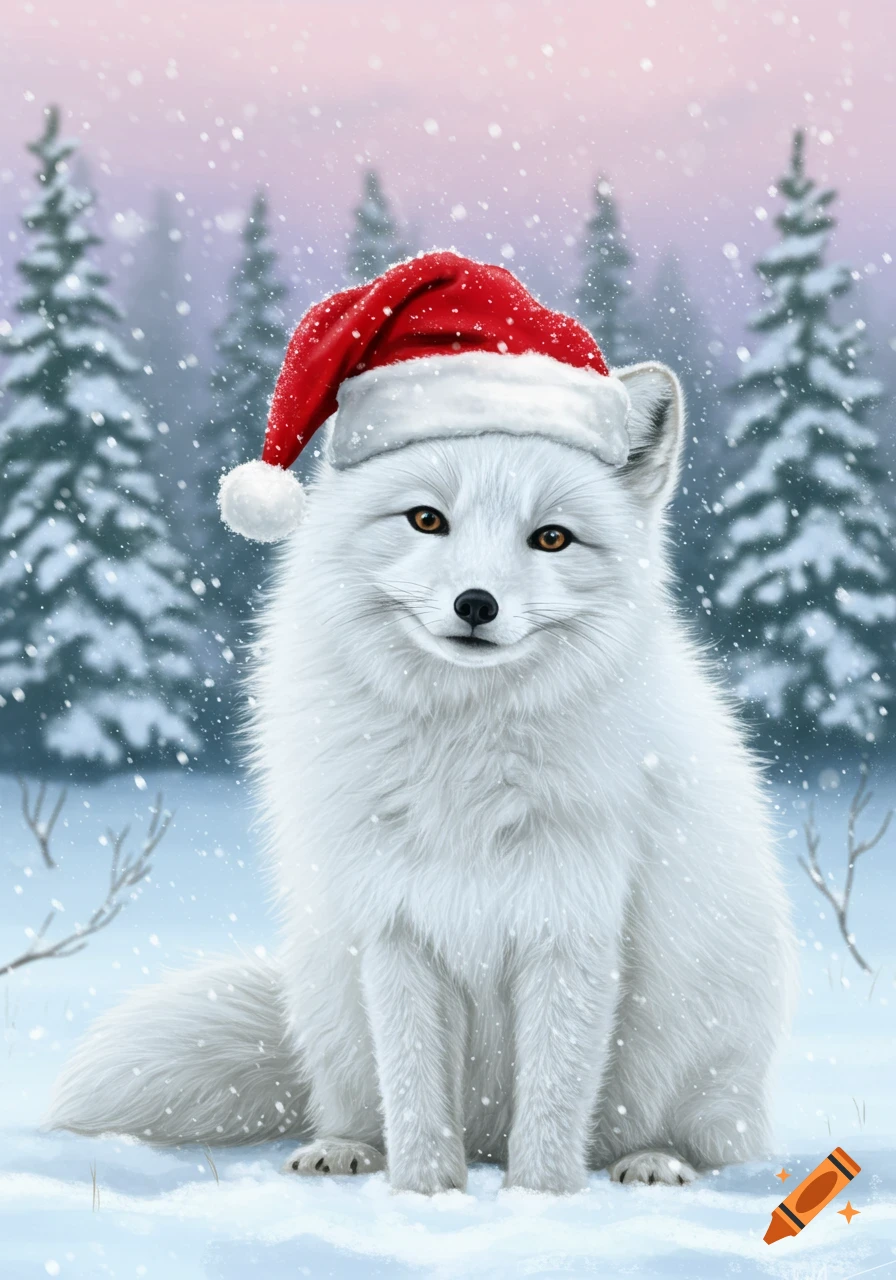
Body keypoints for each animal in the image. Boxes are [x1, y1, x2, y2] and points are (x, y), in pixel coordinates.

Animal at [48, 356, 796, 1196]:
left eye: (551, 538)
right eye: (426, 520)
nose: (476, 604)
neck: (465, 765)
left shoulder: (571, 927)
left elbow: (552, 1103)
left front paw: (539, 1201)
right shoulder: (395, 926)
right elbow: (412, 1089)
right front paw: (425, 1195)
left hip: (694, 1039)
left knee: (673, 1134)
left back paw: (653, 1162)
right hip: (332, 1000)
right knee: (358, 1105)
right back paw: (341, 1152)